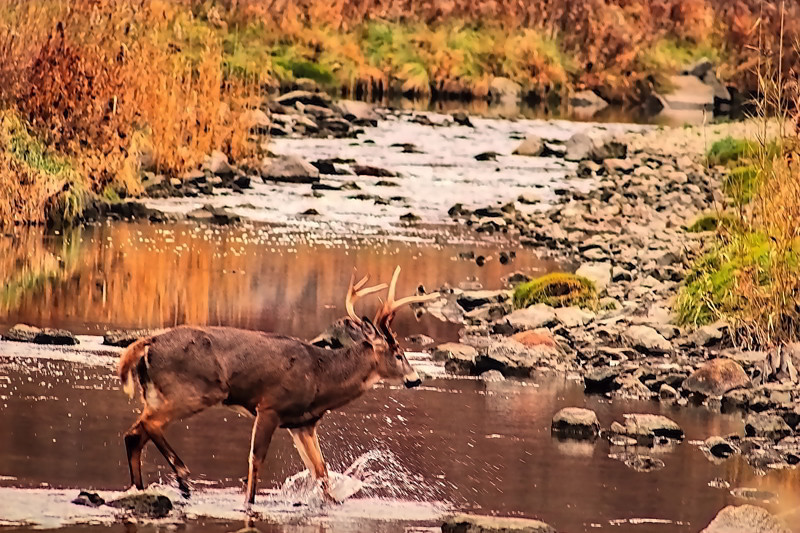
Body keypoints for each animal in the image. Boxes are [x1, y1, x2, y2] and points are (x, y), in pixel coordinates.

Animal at [117, 266, 438, 507]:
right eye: (398, 353)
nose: (415, 378)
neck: (321, 377)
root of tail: (147, 343)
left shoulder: (303, 423)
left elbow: (321, 471)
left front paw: (332, 503)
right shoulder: (270, 406)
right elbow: (256, 460)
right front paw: (249, 503)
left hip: (157, 394)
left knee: (135, 434)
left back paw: (142, 488)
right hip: (194, 391)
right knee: (147, 426)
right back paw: (182, 479)